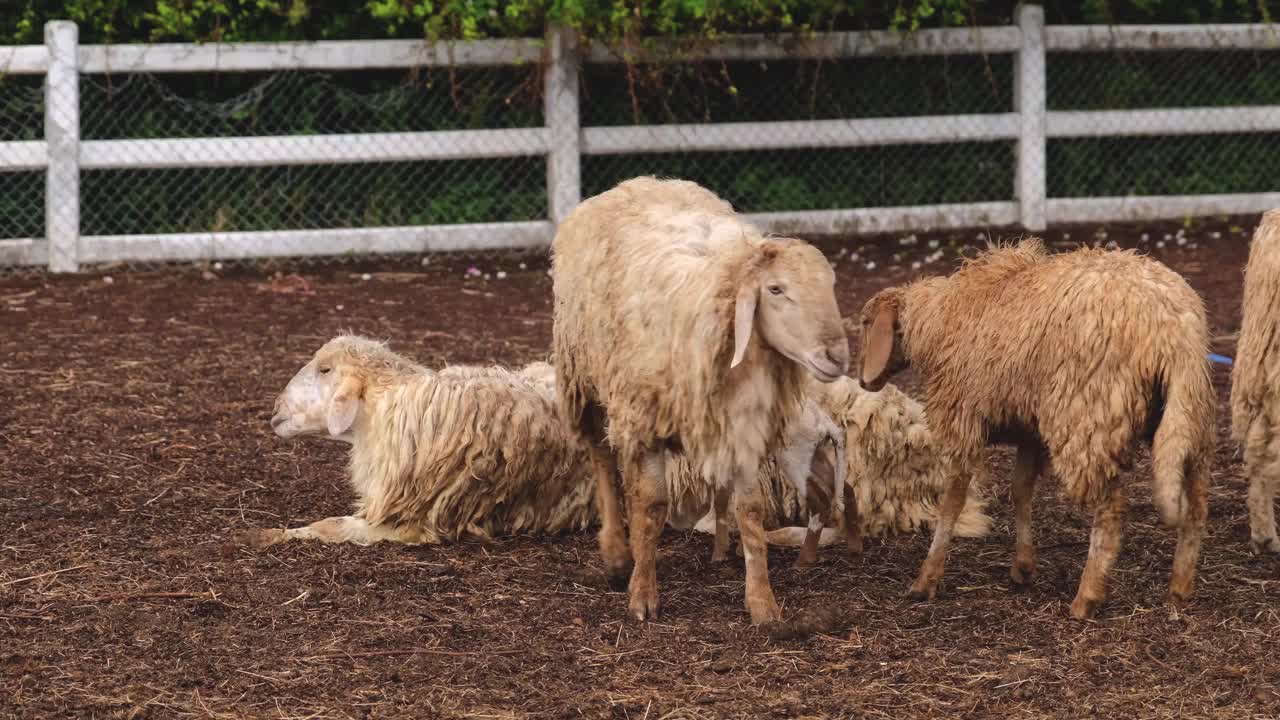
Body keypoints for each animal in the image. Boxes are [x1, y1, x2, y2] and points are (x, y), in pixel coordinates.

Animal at [550, 175, 849, 622]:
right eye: (776, 289)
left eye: (829, 286)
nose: (837, 356)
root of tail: (636, 182)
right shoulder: (646, 420)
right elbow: (653, 506)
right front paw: (642, 595)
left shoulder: (744, 426)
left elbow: (751, 511)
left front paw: (762, 602)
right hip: (585, 379)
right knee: (602, 459)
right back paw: (618, 554)